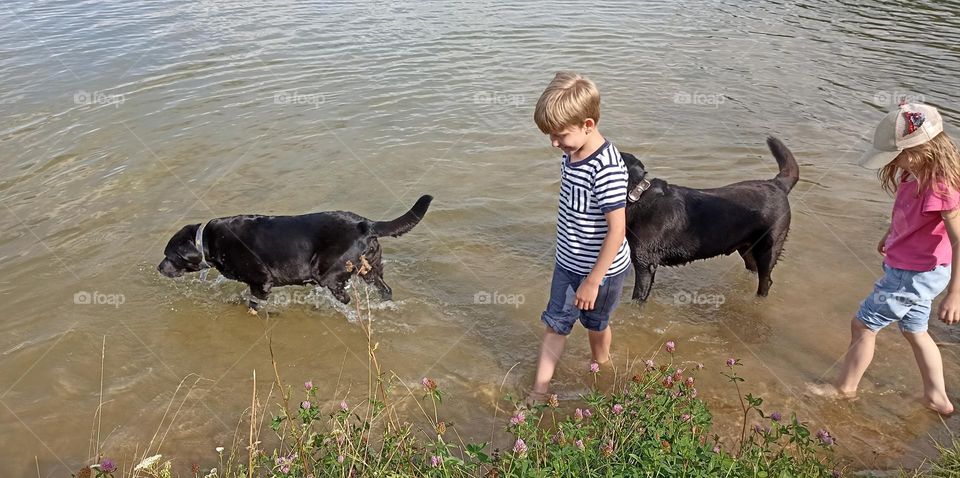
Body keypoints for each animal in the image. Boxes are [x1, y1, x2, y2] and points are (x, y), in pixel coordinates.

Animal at [158, 195, 432, 314]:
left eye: (170, 255)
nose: (159, 268)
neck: (207, 242)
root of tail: (365, 224)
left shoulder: (261, 281)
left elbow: (253, 304)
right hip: (371, 269)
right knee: (385, 290)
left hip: (327, 271)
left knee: (344, 298)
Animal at [620, 137, 800, 302]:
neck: (636, 195)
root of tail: (776, 184)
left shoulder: (645, 264)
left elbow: (637, 298)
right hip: (747, 247)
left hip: (769, 247)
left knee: (766, 281)